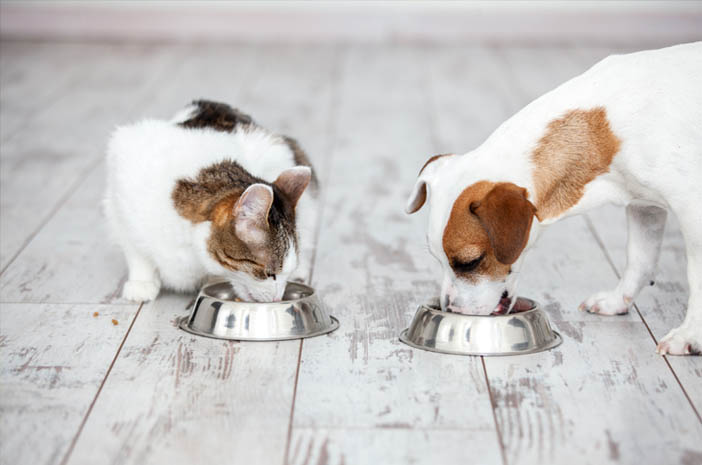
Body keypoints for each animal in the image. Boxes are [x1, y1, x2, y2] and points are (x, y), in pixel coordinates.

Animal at [104, 99, 320, 300]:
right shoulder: (121, 191)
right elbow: (135, 250)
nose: (278, 298)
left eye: (284, 274)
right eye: (270, 274)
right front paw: (142, 282)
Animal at [408, 43, 702, 356]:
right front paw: (617, 300)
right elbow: (639, 259)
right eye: (437, 259)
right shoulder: (643, 206)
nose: (451, 309)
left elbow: (696, 276)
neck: (604, 128)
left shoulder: (693, 210)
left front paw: (690, 334)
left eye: (470, 262)